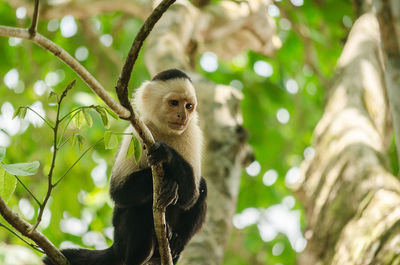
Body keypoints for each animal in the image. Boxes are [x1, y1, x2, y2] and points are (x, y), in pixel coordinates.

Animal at [43, 68, 206, 264]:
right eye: (174, 103)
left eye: (189, 106)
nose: (183, 116)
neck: (165, 131)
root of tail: (115, 247)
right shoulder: (137, 133)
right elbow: (119, 191)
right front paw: (168, 183)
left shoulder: (192, 133)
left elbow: (191, 195)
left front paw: (166, 155)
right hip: (121, 236)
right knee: (139, 207)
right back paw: (139, 255)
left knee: (202, 187)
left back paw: (174, 244)